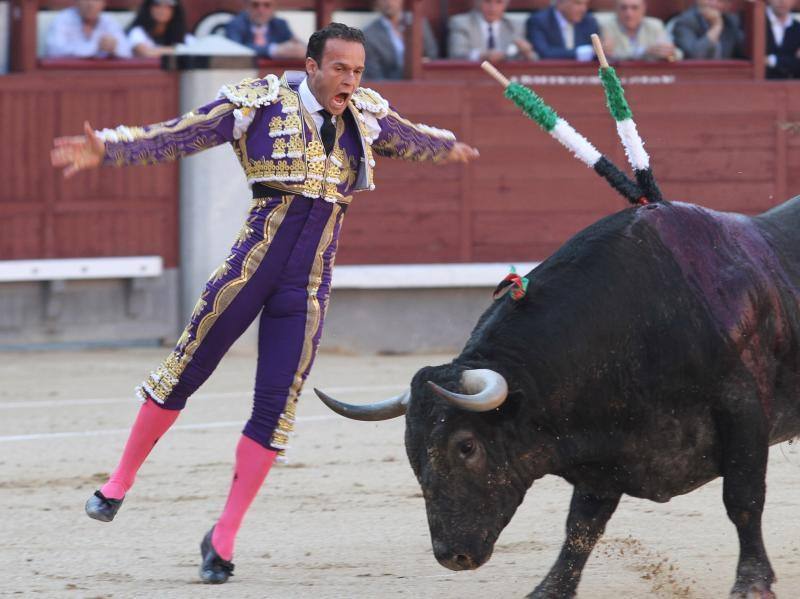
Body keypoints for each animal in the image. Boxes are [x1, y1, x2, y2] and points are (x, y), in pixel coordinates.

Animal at [314, 198, 800, 599]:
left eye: (466, 446)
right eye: (410, 451)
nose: (452, 556)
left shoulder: (741, 409)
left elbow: (742, 498)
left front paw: (753, 584)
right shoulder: (609, 444)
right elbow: (582, 525)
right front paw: (550, 590)